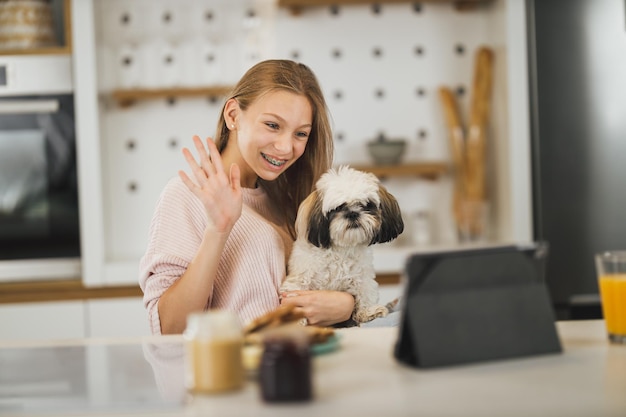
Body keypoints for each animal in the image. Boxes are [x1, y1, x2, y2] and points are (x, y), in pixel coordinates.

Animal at [280, 164, 404, 324]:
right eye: (338, 208)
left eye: (366, 205)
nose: (352, 214)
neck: (341, 249)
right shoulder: (299, 280)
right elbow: (293, 297)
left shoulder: (362, 278)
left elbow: (365, 292)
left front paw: (368, 311)